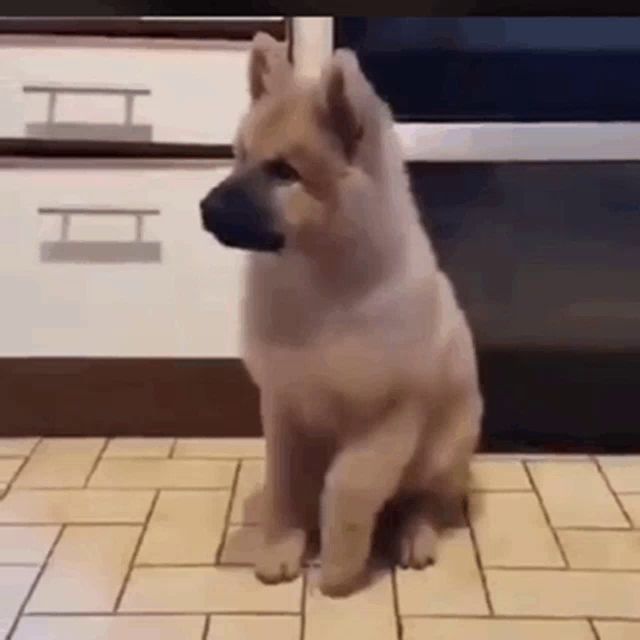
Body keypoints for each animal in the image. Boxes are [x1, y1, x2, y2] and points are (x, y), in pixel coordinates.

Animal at [200, 32, 480, 596]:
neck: (318, 288)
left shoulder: (387, 418)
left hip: (444, 448)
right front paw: (282, 547)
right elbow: (287, 487)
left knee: (425, 503)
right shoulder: (283, 407)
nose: (205, 209)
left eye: (285, 172)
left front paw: (338, 569)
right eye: (240, 158)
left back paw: (415, 537)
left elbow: (346, 487)